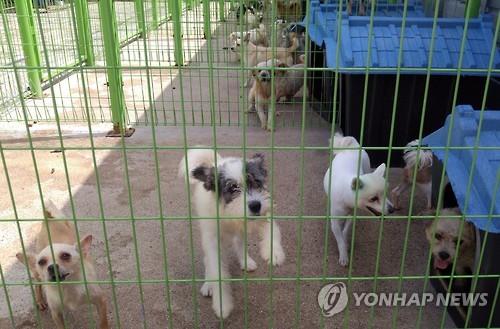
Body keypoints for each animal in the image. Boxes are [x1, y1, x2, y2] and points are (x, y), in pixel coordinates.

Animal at [15, 200, 108, 328]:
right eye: (41, 262)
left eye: (65, 255)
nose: (51, 267)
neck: (67, 287)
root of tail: (48, 218)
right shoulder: (56, 313)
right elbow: (61, 326)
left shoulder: (101, 300)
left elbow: (103, 322)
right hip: (38, 275)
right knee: (37, 284)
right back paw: (40, 301)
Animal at [179, 149, 286, 318]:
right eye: (233, 188)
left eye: (256, 182)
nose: (255, 205)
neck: (229, 212)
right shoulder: (213, 239)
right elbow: (217, 270)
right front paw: (222, 304)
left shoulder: (264, 215)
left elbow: (273, 231)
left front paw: (273, 253)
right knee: (207, 259)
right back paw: (208, 283)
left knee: (239, 242)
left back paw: (245, 261)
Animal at [324, 135, 394, 266]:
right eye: (373, 199)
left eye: (386, 194)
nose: (392, 209)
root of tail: (353, 145)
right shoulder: (335, 222)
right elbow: (339, 238)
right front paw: (343, 255)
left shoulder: (352, 215)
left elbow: (345, 231)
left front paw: (345, 242)